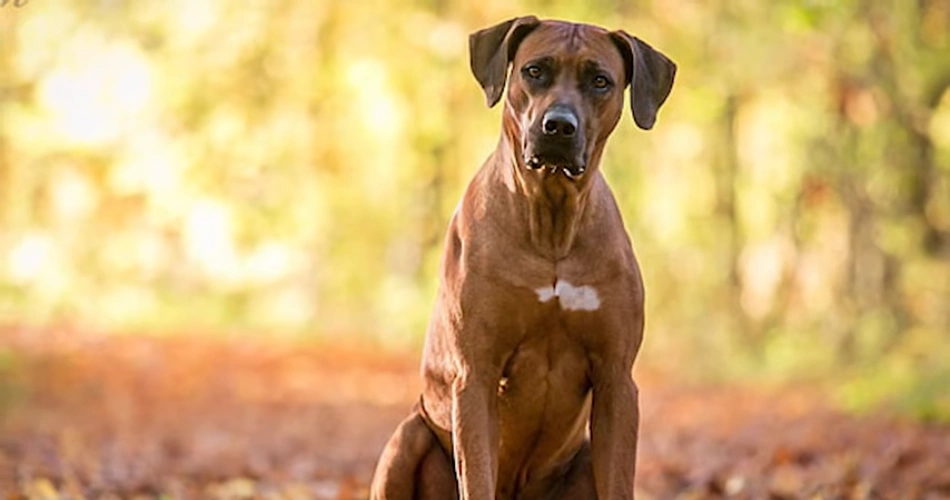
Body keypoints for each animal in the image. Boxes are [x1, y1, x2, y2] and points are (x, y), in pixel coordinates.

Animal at [368, 15, 672, 500]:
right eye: (535, 71)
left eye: (600, 81)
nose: (559, 126)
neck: (551, 222)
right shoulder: (475, 375)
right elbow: (476, 474)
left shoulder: (617, 380)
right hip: (408, 435)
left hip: (584, 454)